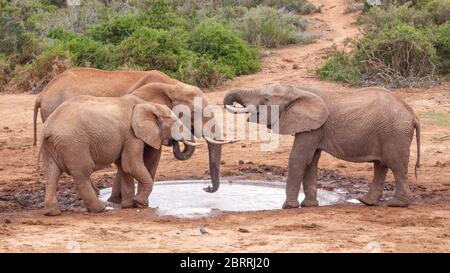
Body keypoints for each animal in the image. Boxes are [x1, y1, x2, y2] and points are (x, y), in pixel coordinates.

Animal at [37, 93, 200, 215]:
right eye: (177, 124)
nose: (174, 142)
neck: (147, 104)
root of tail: (48, 128)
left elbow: (124, 167)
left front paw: (129, 205)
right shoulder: (131, 134)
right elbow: (130, 165)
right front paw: (140, 203)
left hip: (52, 146)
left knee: (51, 173)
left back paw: (52, 212)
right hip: (74, 144)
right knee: (82, 172)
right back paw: (100, 208)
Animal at [223, 84, 420, 207]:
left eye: (265, 99)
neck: (298, 90)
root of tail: (412, 114)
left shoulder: (314, 127)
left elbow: (299, 158)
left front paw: (288, 207)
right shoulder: (314, 127)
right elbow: (311, 160)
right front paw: (309, 206)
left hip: (395, 133)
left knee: (397, 165)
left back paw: (397, 204)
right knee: (381, 166)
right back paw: (366, 202)